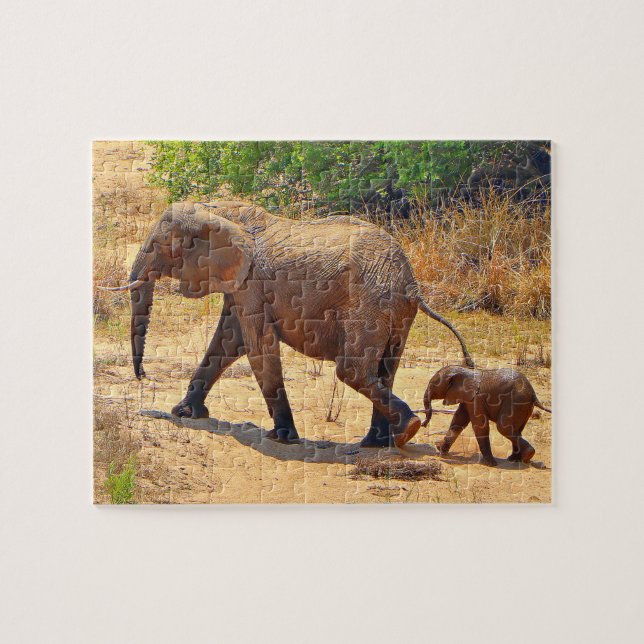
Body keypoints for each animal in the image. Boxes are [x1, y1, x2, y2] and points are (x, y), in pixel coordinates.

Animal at [102, 200, 474, 448]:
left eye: (159, 246)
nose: (143, 376)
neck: (220, 210)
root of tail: (410, 283)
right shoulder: (241, 283)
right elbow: (228, 342)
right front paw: (184, 413)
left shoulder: (252, 283)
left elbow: (256, 345)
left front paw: (281, 438)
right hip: (396, 313)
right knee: (385, 368)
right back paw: (379, 442)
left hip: (370, 302)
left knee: (352, 370)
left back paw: (405, 430)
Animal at [422, 365, 551, 466]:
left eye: (433, 385)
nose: (424, 424)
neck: (465, 372)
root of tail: (533, 394)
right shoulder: (468, 398)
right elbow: (458, 421)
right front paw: (442, 453)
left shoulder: (477, 399)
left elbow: (479, 426)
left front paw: (490, 464)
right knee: (516, 429)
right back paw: (514, 459)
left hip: (517, 401)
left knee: (503, 427)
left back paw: (526, 456)